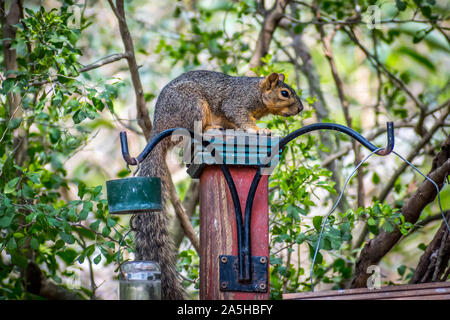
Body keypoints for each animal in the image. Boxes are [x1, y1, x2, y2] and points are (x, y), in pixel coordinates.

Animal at [133, 70, 302, 300]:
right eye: (285, 93)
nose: (301, 108)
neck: (256, 92)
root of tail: (160, 125)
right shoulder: (236, 103)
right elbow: (241, 117)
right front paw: (260, 130)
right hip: (193, 106)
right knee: (190, 130)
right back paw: (209, 128)